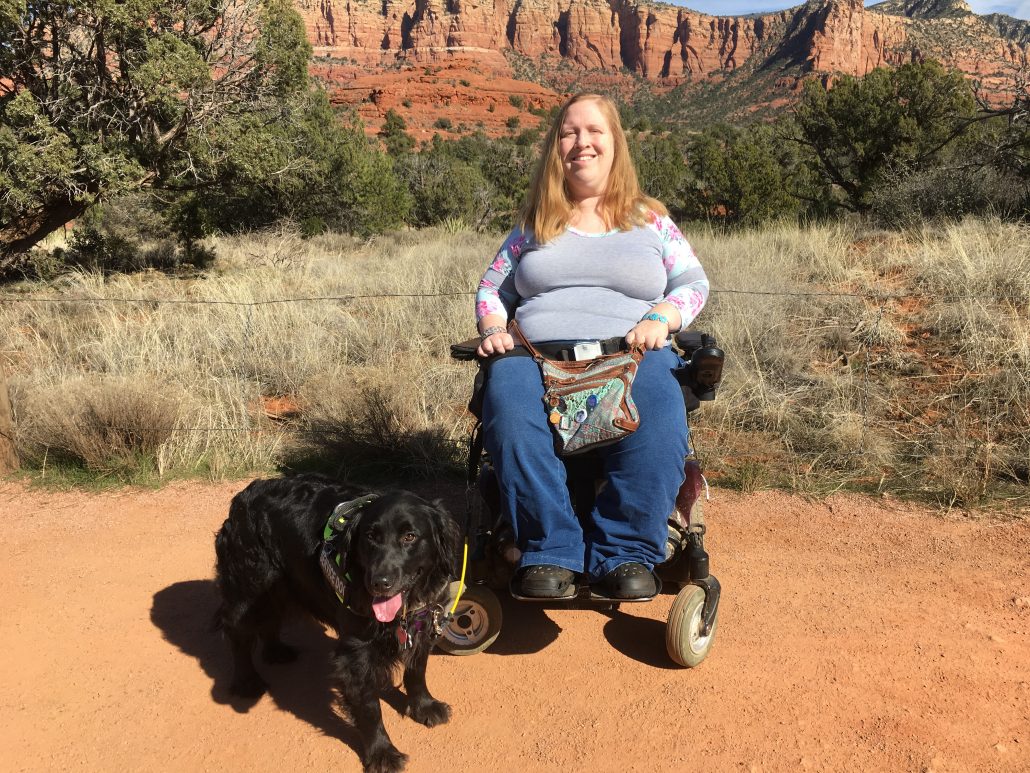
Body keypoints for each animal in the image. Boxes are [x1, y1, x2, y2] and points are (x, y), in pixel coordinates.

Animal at [213, 476, 459, 770]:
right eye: (370, 536)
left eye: (409, 536)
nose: (379, 582)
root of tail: (243, 496)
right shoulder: (356, 654)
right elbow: (369, 707)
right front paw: (382, 752)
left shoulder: (423, 624)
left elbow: (416, 671)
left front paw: (424, 706)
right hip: (248, 586)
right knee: (238, 634)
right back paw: (247, 680)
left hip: (281, 585)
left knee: (270, 620)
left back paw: (276, 651)